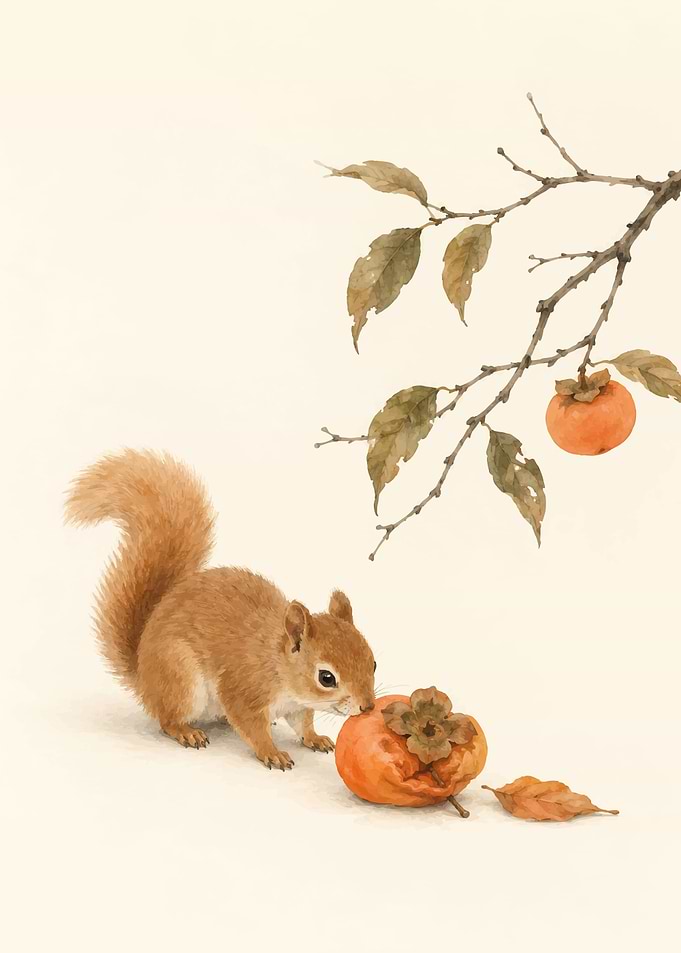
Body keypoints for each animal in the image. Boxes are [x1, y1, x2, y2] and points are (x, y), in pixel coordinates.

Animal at [65, 449, 376, 770]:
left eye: (373, 662)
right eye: (326, 678)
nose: (368, 707)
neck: (277, 664)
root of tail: (143, 676)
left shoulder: (297, 706)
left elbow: (303, 723)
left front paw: (315, 738)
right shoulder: (243, 689)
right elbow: (251, 726)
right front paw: (272, 752)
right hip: (181, 680)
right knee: (167, 719)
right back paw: (186, 732)